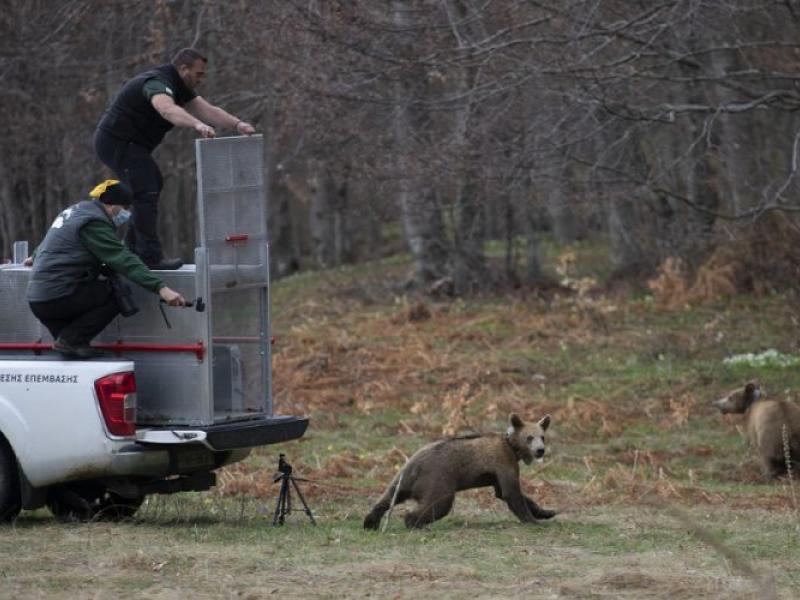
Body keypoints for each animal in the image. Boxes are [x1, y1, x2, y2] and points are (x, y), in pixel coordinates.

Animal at [364, 412, 556, 528]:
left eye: (542, 437)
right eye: (529, 437)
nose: (540, 450)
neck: (512, 448)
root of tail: (414, 463)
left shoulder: (497, 474)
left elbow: (504, 492)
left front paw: (546, 512)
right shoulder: (502, 462)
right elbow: (511, 493)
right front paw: (533, 520)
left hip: (404, 479)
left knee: (388, 497)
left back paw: (370, 522)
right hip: (439, 478)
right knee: (439, 504)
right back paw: (414, 522)